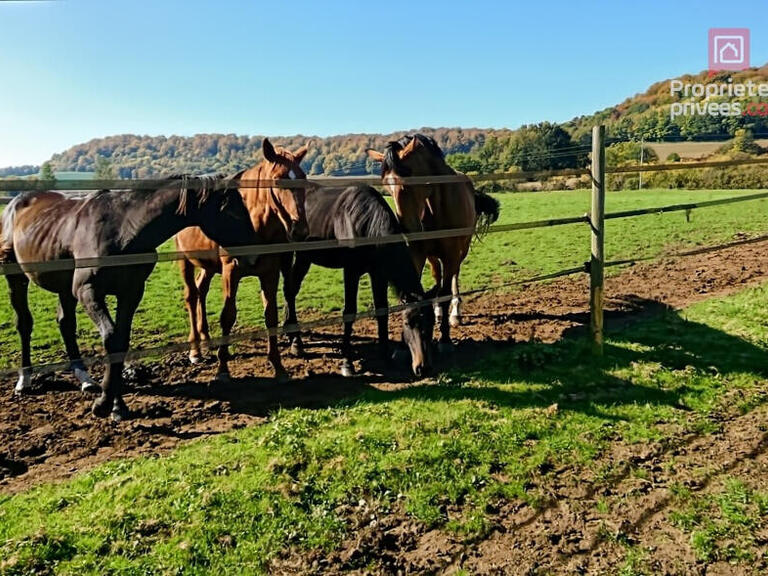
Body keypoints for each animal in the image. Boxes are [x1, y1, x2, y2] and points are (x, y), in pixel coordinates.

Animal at [174, 138, 308, 382]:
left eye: (304, 178)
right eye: (277, 180)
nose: (300, 230)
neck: (251, 224)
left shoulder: (270, 273)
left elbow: (271, 315)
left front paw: (278, 366)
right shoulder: (230, 272)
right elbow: (228, 316)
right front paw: (222, 369)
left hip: (208, 265)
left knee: (201, 289)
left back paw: (206, 337)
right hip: (184, 260)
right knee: (191, 295)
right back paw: (196, 349)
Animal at [282, 184, 438, 378]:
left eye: (432, 322)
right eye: (407, 323)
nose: (423, 368)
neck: (363, 224)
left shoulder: (378, 274)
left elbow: (382, 311)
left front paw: (385, 357)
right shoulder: (351, 271)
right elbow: (349, 312)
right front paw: (347, 363)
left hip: (305, 258)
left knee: (290, 289)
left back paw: (289, 333)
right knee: (290, 290)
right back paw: (296, 342)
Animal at [368, 135, 500, 348]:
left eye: (409, 183)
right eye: (387, 186)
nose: (407, 229)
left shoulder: (451, 255)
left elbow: (446, 292)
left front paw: (445, 339)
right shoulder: (417, 254)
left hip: (460, 252)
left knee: (453, 278)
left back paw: (455, 314)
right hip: (432, 256)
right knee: (437, 276)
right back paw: (438, 312)